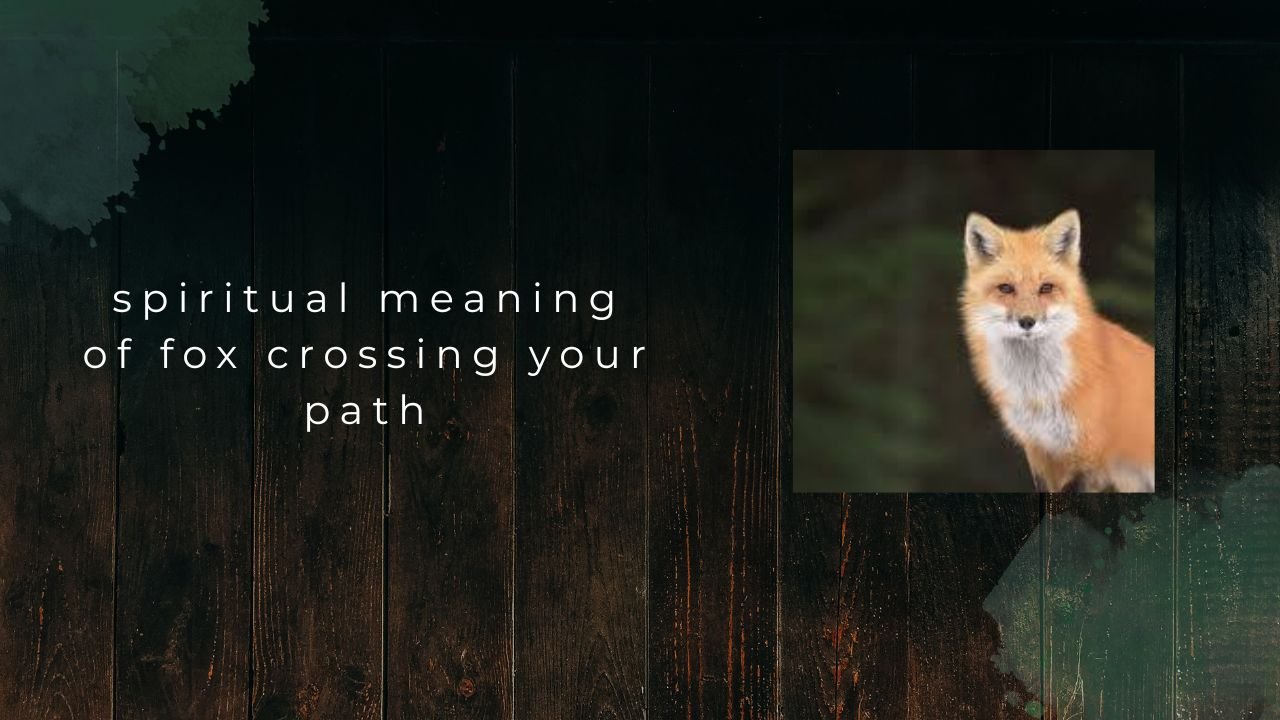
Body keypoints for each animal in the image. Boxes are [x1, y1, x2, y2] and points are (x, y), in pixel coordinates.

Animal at [960, 209, 1155, 493]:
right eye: (1006, 288)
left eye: (1046, 288)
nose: (1027, 321)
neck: (1040, 394)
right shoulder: (1039, 452)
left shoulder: (1092, 458)